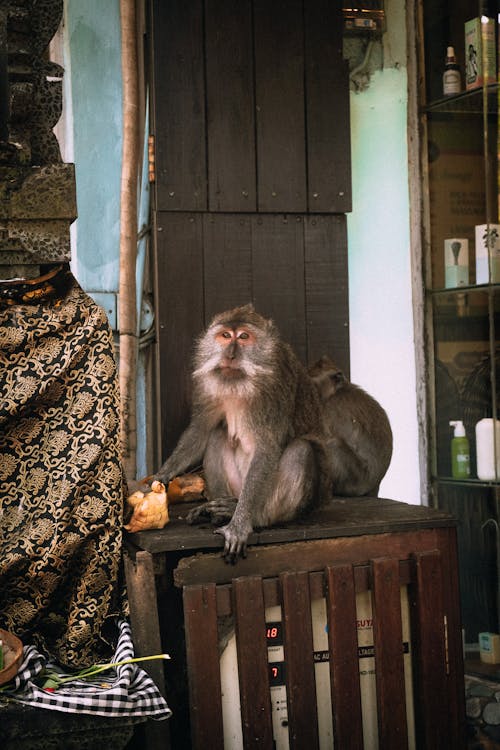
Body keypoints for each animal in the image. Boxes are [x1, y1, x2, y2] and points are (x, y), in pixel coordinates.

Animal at [154, 306, 330, 564]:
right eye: (226, 336)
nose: (230, 355)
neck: (239, 381)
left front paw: (239, 525)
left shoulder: (273, 391)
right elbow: (201, 429)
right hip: (237, 485)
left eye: (244, 337)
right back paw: (218, 510)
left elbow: (267, 449)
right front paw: (164, 474)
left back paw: (252, 516)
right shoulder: (208, 387)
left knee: (302, 450)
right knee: (217, 435)